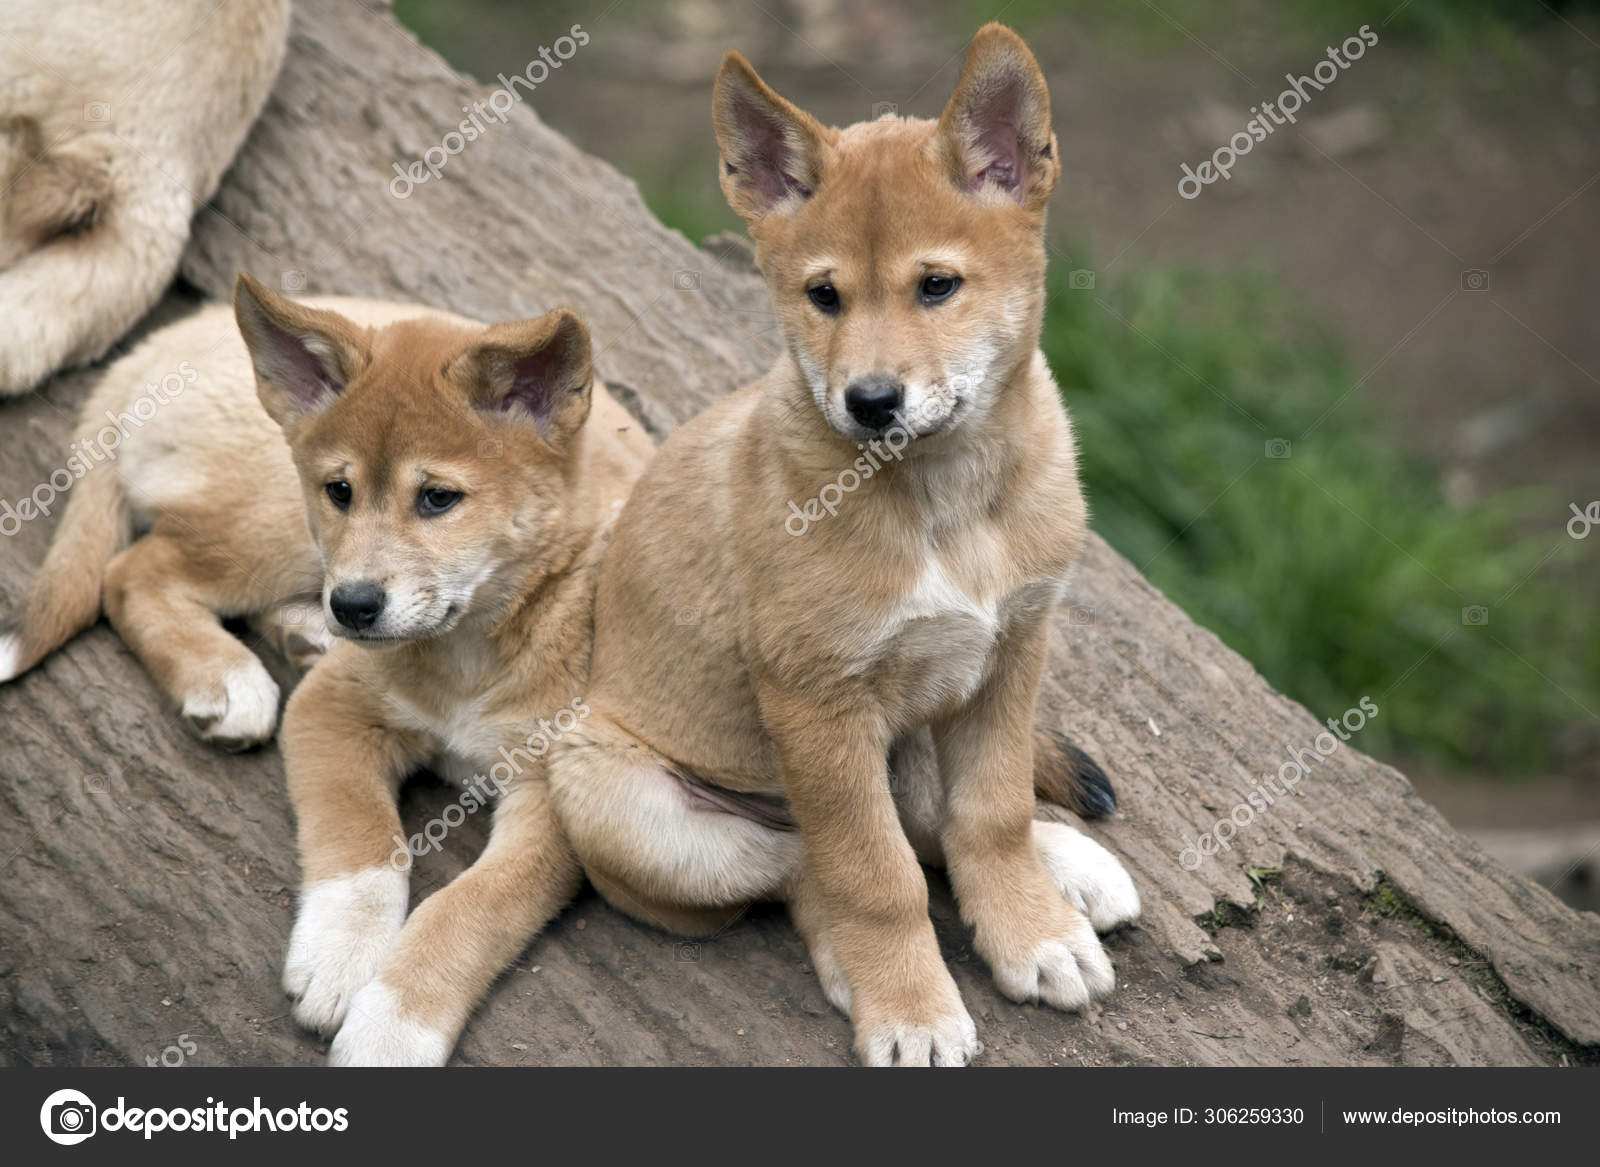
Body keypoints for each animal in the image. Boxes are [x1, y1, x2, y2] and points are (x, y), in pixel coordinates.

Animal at [1, 276, 649, 1062]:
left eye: (439, 498)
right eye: (340, 490)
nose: (355, 606)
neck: (475, 649)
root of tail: (164, 343)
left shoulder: (555, 800)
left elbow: (472, 907)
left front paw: (392, 1029)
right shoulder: (334, 711)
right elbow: (365, 844)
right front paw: (340, 956)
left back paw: (299, 636)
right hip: (278, 528)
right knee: (132, 572)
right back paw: (225, 675)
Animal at [550, 25, 1139, 1062]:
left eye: (937, 286)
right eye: (823, 296)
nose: (870, 402)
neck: (946, 503)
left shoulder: (1011, 652)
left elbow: (990, 812)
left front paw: (1030, 927)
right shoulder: (816, 702)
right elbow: (875, 875)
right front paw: (910, 1004)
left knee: (927, 820)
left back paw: (1069, 867)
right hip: (634, 805)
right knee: (808, 867)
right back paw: (856, 965)